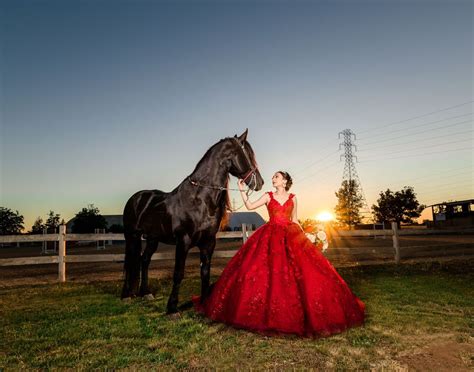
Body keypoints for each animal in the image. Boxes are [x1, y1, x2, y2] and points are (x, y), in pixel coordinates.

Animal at [121, 129, 262, 312]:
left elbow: (205, 272)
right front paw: (172, 308)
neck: (199, 199)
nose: (260, 183)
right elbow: (178, 273)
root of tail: (136, 198)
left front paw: (204, 305)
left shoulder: (208, 242)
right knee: (130, 261)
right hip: (131, 236)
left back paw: (146, 293)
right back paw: (126, 295)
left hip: (152, 239)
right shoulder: (183, 241)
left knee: (144, 260)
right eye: (248, 155)